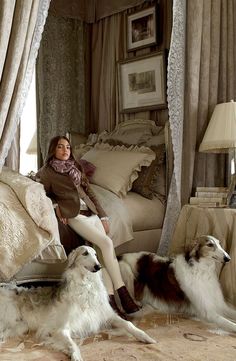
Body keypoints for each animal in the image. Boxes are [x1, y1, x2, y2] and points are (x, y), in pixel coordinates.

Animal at [0, 245, 156, 360]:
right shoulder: (60, 329)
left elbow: (129, 324)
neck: (86, 287)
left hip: (21, 326)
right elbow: (73, 345)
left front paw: (146, 337)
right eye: (85, 253)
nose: (98, 266)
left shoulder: (105, 315)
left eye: (96, 254)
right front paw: (75, 356)